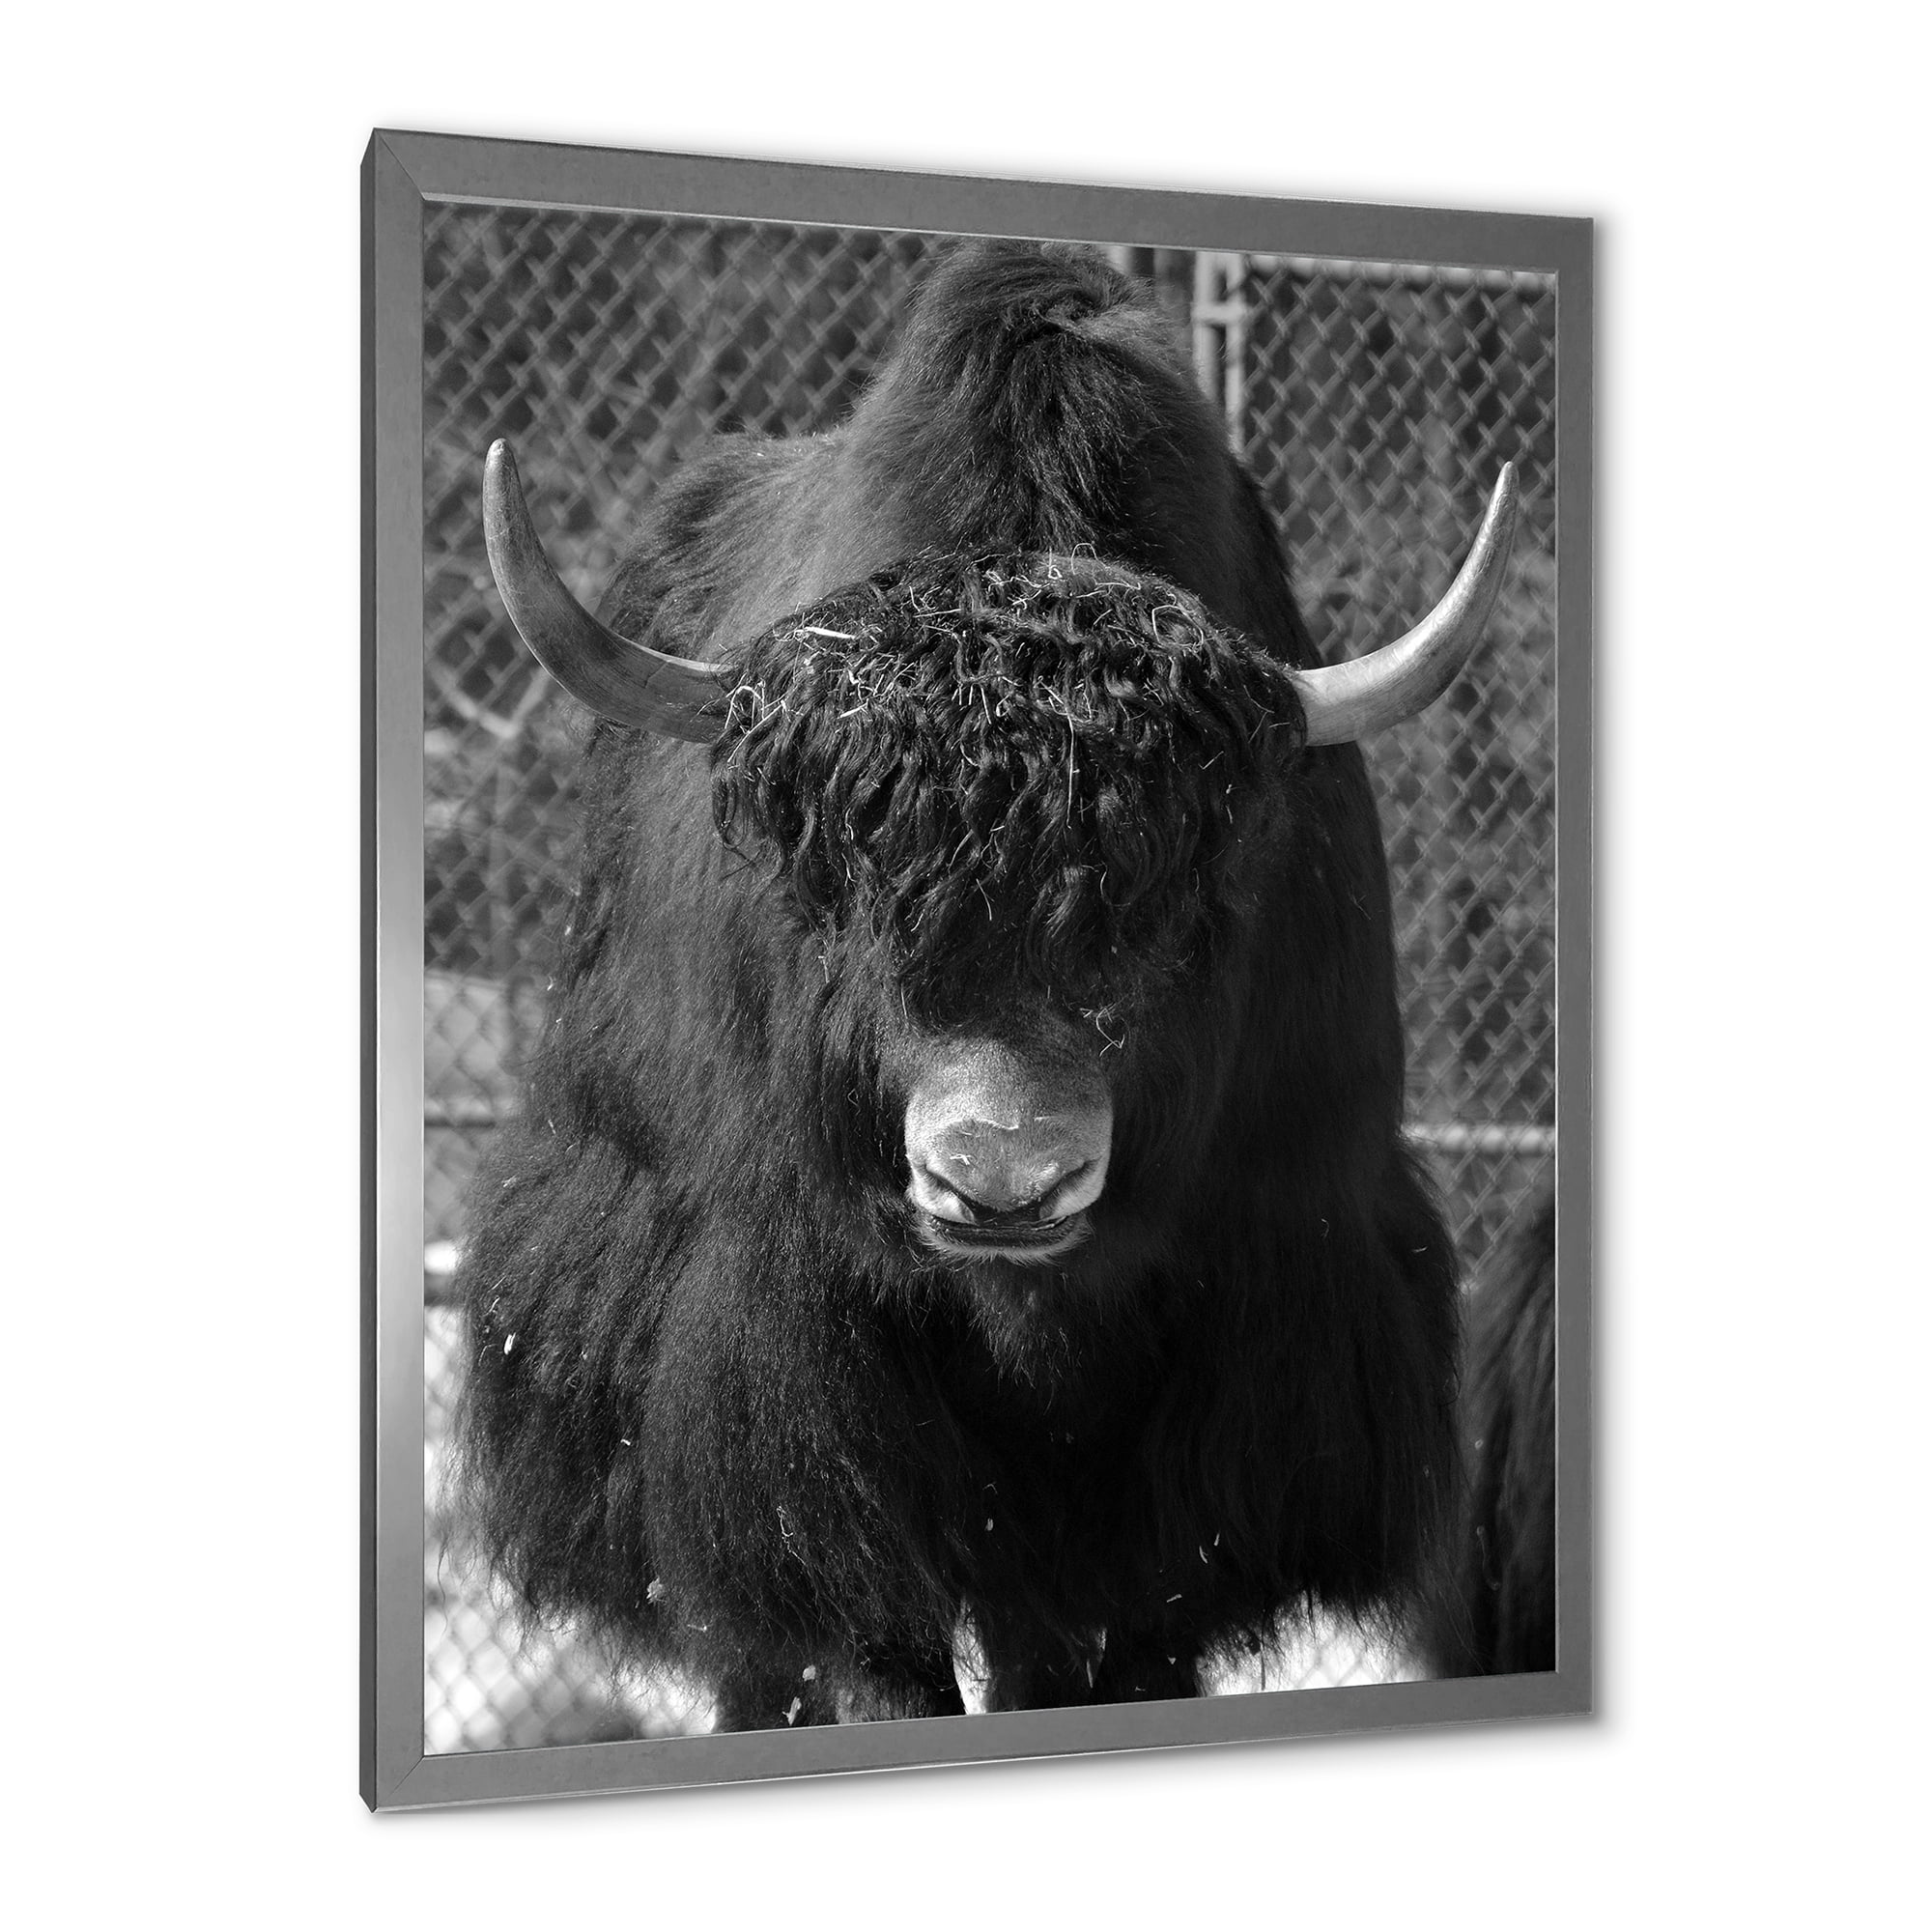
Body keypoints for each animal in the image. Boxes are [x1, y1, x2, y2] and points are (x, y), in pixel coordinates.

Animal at [458, 240, 1519, 1729]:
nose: (1003, 1179)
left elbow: (1124, 1642)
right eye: (844, 892)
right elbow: (869, 1640)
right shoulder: (792, 1383)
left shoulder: (1238, 1366)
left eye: (1170, 910)